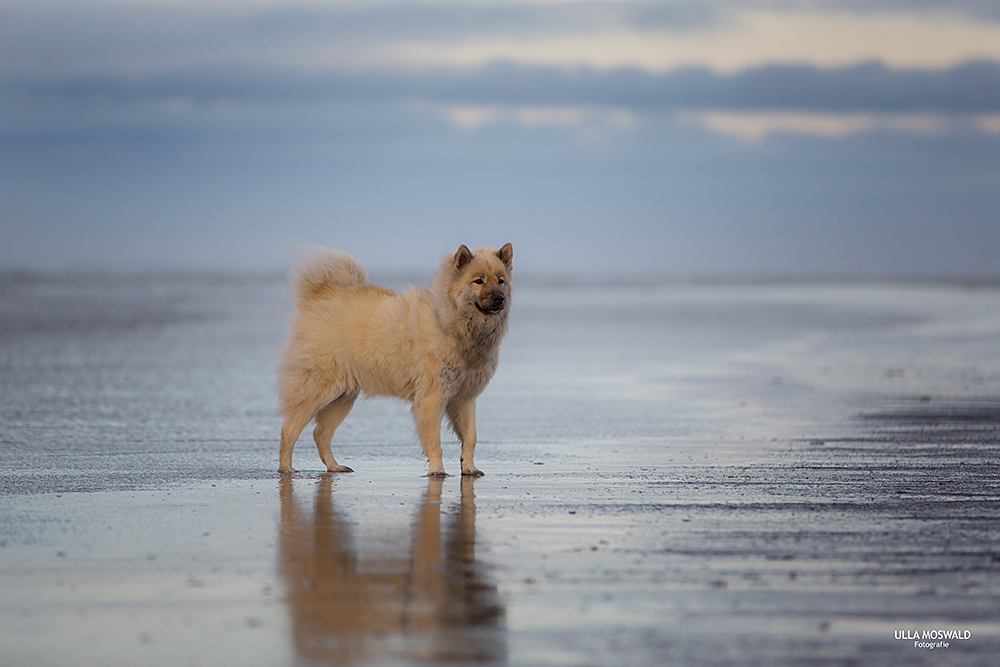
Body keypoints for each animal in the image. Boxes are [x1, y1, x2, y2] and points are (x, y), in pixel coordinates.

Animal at [278, 243, 516, 478]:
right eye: (479, 281)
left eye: (500, 280)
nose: (499, 299)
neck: (449, 322)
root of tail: (320, 296)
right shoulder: (432, 398)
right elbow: (435, 441)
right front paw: (437, 470)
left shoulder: (464, 398)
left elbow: (471, 437)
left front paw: (469, 468)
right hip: (316, 391)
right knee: (289, 430)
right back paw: (286, 468)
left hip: (343, 398)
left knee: (320, 433)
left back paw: (334, 467)